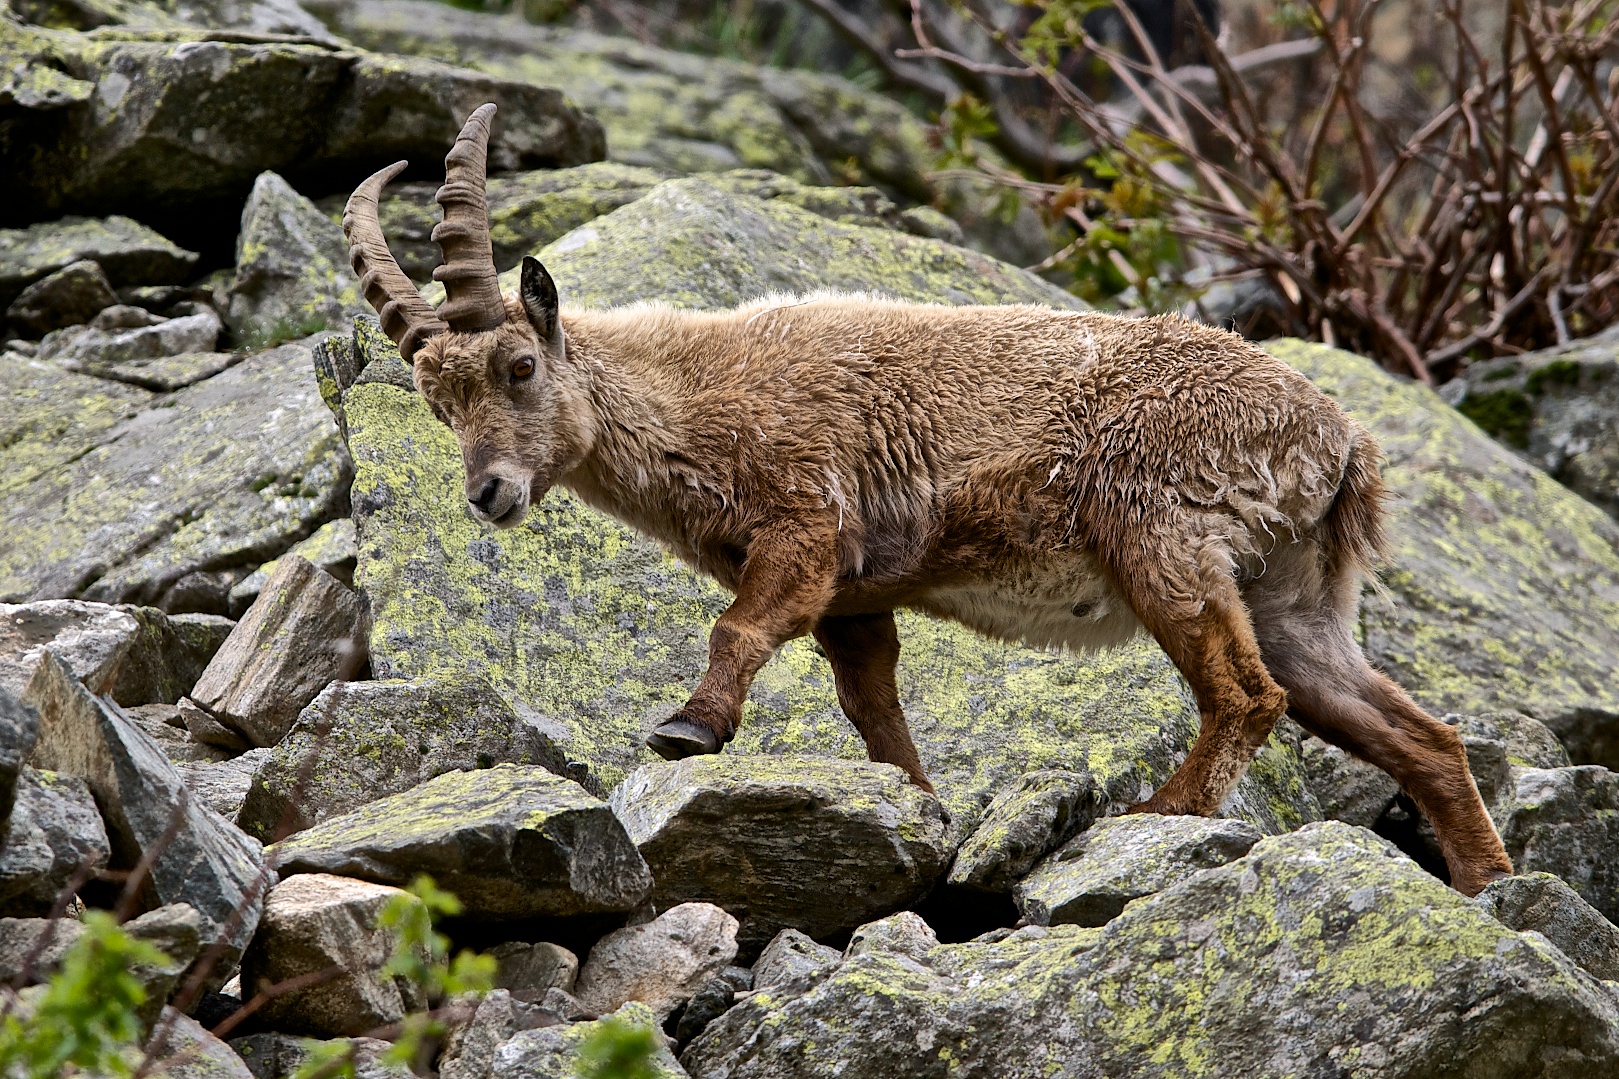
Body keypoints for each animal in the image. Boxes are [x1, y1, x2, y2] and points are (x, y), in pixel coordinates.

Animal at [343, 104, 1514, 896]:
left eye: (518, 368)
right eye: (438, 401)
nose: (489, 492)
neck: (697, 397)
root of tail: (1340, 439)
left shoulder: (807, 522)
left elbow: (741, 626)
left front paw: (687, 728)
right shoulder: (859, 599)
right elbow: (876, 715)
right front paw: (919, 810)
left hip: (1159, 535)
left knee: (1245, 693)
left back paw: (1159, 811)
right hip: (1292, 590)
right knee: (1413, 732)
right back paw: (1485, 883)